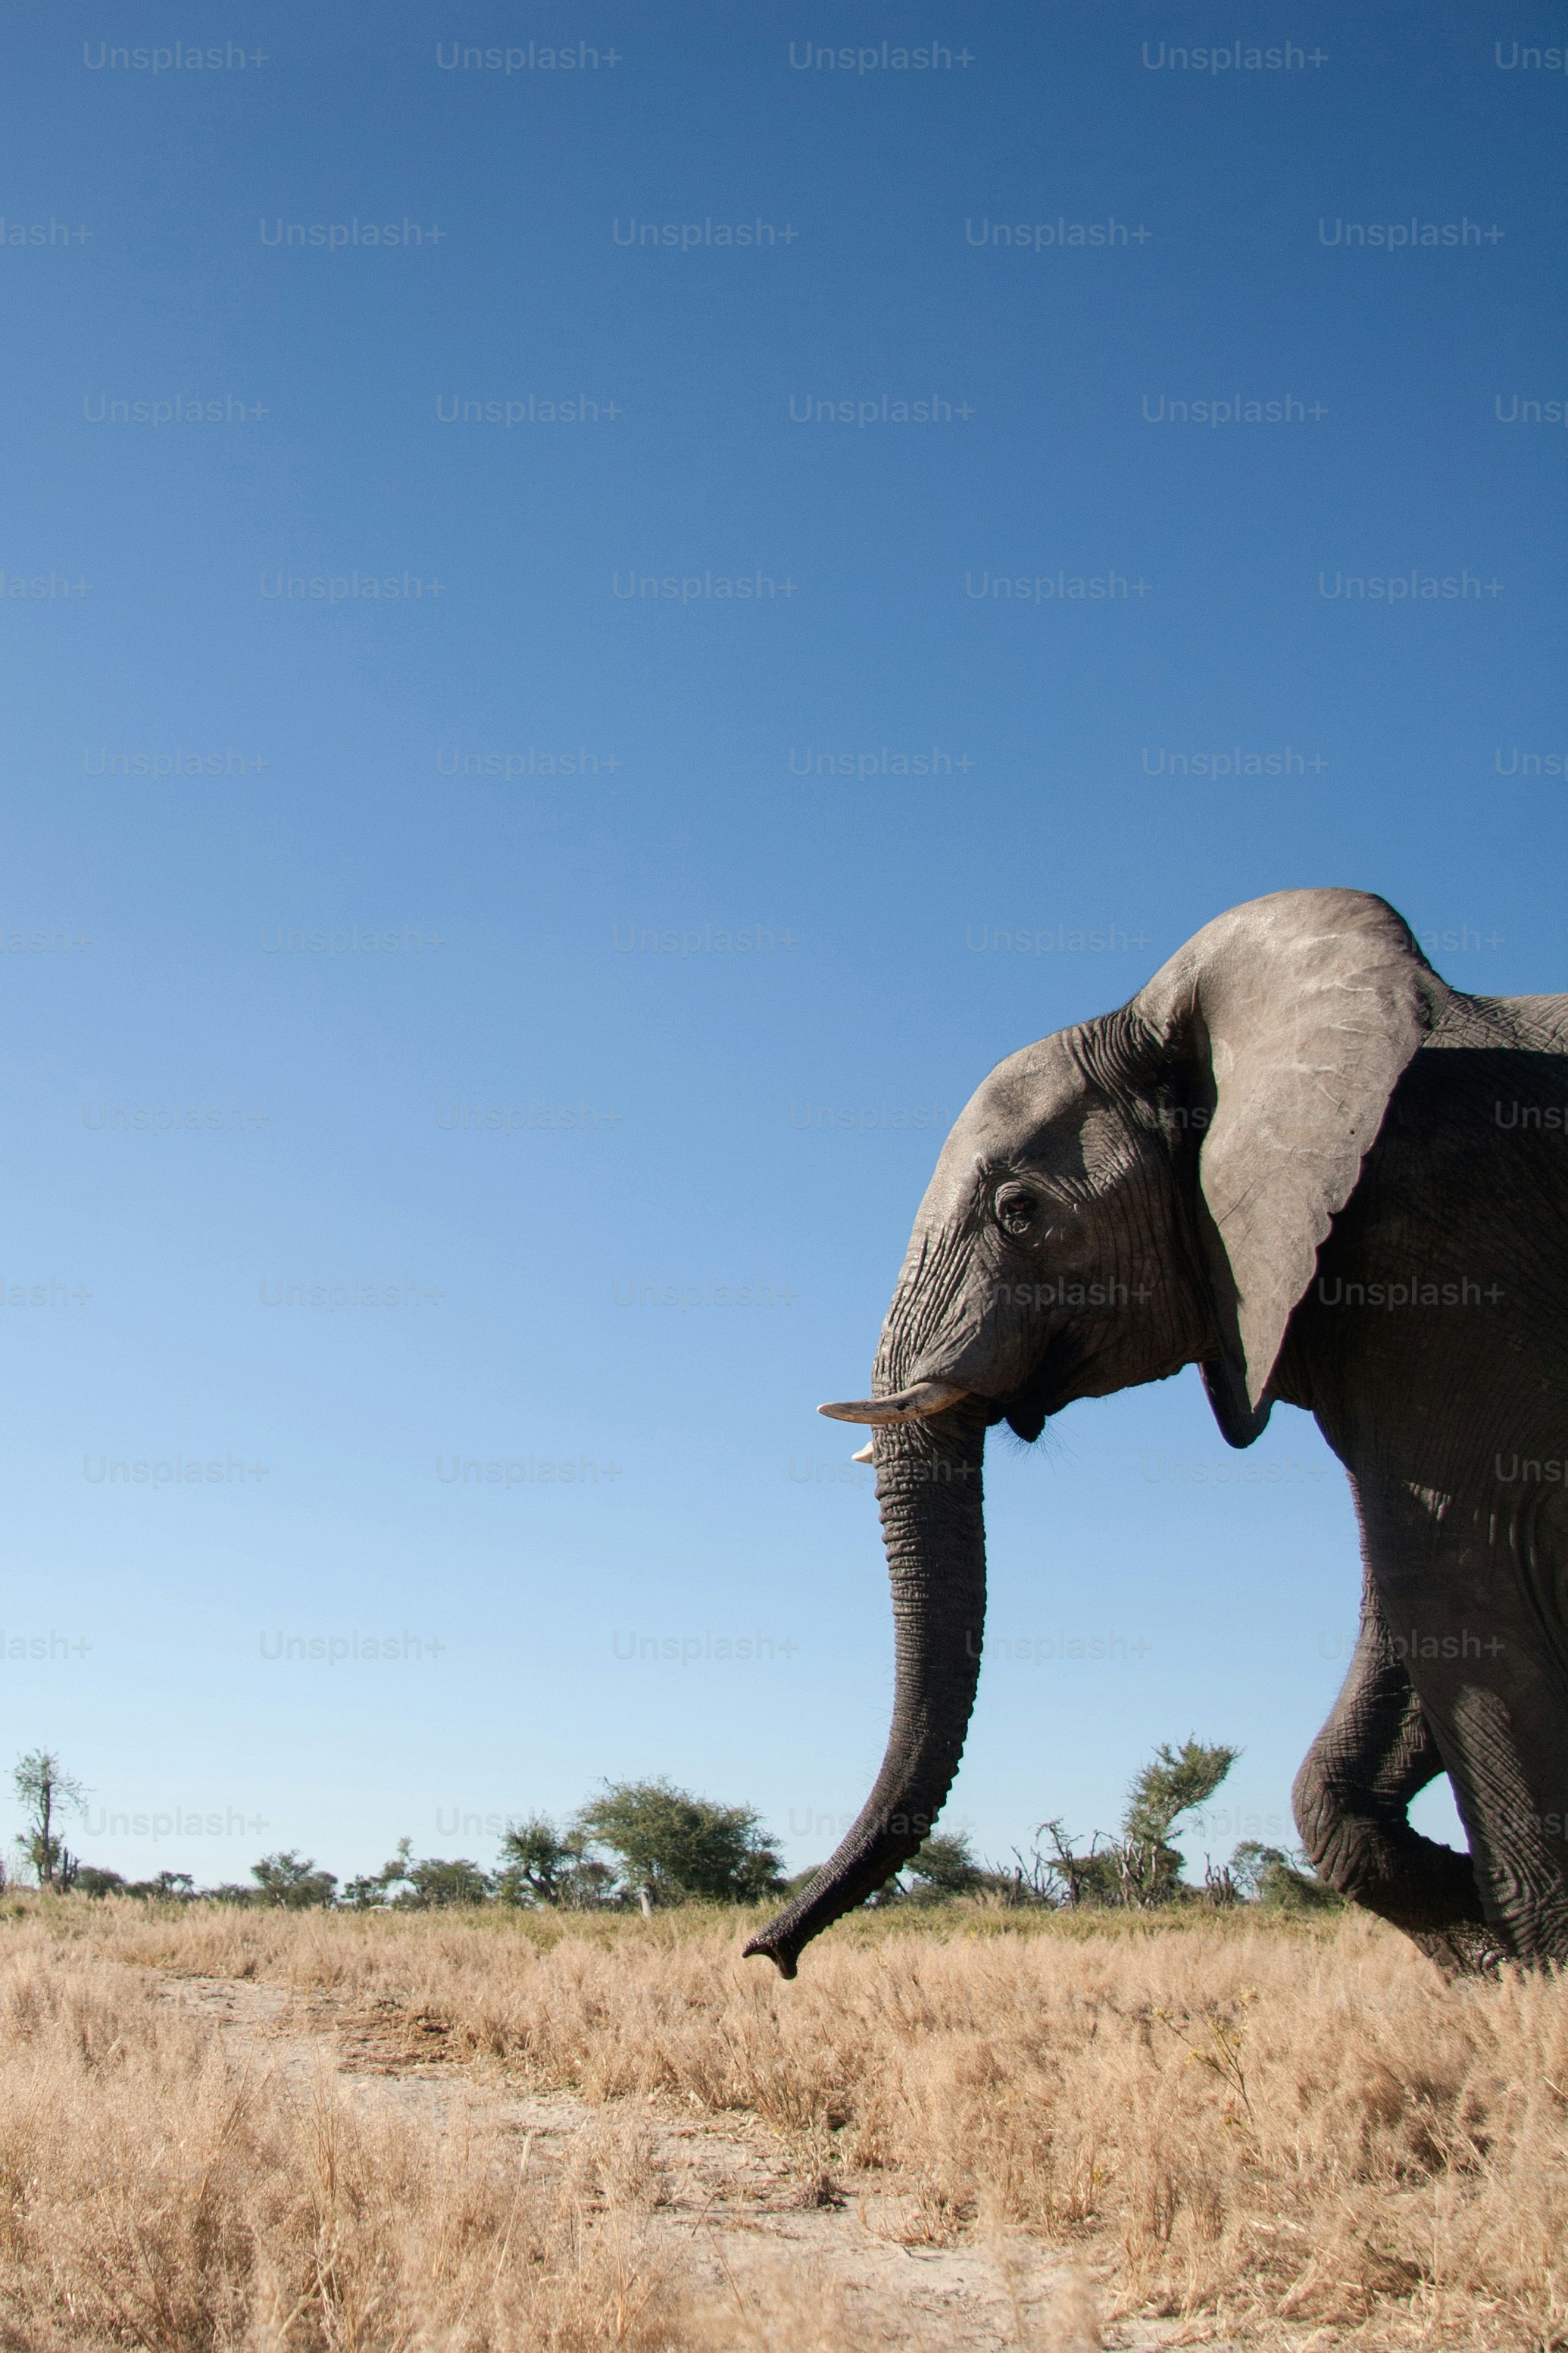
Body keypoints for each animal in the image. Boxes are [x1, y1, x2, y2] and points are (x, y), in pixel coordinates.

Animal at [744, 888, 1568, 1980]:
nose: (767, 1956)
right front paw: (1480, 1951)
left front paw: (1530, 1974)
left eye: (1018, 1210)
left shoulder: (1448, 1252)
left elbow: (1464, 1569)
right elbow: (1408, 1603)